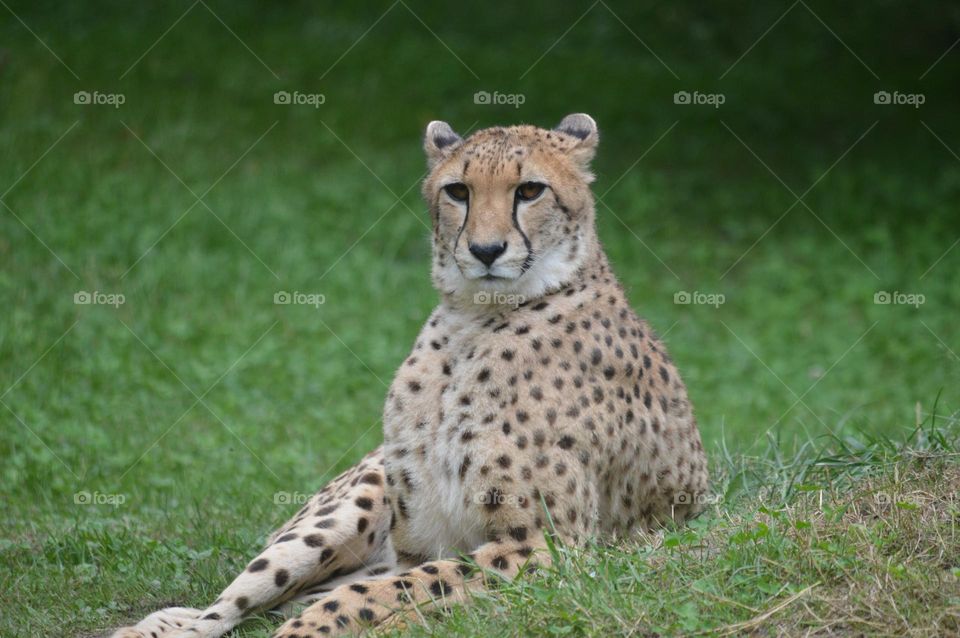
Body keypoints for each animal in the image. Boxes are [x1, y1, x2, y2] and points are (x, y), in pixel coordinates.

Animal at [111, 113, 709, 638]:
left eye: (530, 191)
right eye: (459, 191)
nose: (485, 250)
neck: (474, 321)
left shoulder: (543, 549)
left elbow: (381, 592)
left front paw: (312, 629)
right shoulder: (421, 542)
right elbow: (393, 585)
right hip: (350, 503)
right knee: (230, 605)